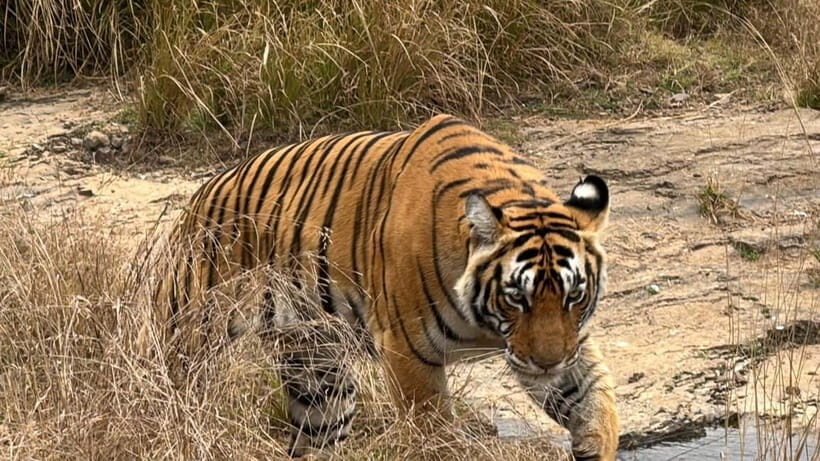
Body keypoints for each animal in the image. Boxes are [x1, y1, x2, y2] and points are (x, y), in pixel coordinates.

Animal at [152, 114, 619, 460]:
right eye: (516, 298)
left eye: (574, 296)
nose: (546, 363)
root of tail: (199, 197)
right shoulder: (408, 352)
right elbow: (435, 436)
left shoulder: (568, 344)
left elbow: (596, 404)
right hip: (189, 341)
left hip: (318, 378)